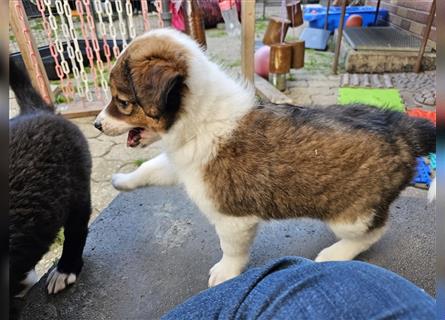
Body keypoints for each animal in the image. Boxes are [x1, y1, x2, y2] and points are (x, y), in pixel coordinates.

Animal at [94, 28, 434, 286]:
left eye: (122, 102)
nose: (96, 124)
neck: (198, 116)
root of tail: (404, 127)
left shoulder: (232, 217)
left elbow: (231, 248)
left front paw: (226, 272)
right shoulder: (183, 162)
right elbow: (151, 167)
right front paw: (122, 180)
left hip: (351, 214)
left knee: (375, 231)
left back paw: (336, 254)